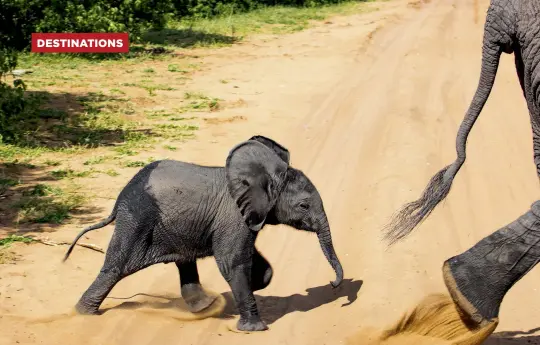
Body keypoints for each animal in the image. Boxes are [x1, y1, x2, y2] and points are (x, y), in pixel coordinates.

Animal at [63, 134, 342, 330]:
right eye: (304, 206)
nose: (333, 284)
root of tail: (120, 197)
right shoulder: (234, 217)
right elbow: (232, 261)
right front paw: (254, 329)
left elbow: (256, 264)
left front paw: (254, 284)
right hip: (137, 218)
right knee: (116, 268)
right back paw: (83, 314)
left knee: (183, 262)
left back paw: (205, 307)